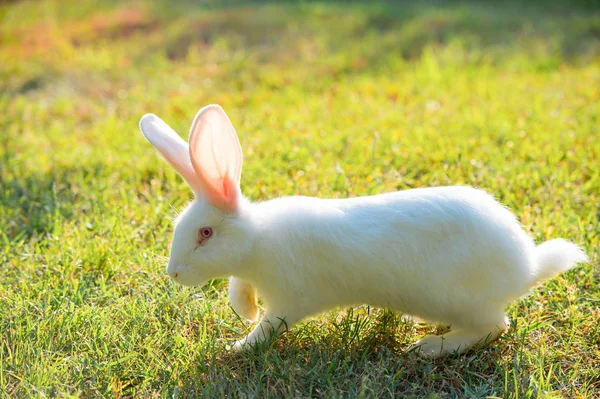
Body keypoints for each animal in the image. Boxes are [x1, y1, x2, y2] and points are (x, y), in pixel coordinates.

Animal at [138, 104, 588, 358]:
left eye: (205, 234)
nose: (173, 274)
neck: (258, 241)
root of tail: (525, 267)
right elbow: (239, 288)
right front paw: (242, 309)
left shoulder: (288, 300)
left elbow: (267, 328)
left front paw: (233, 349)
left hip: (458, 300)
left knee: (495, 327)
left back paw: (430, 348)